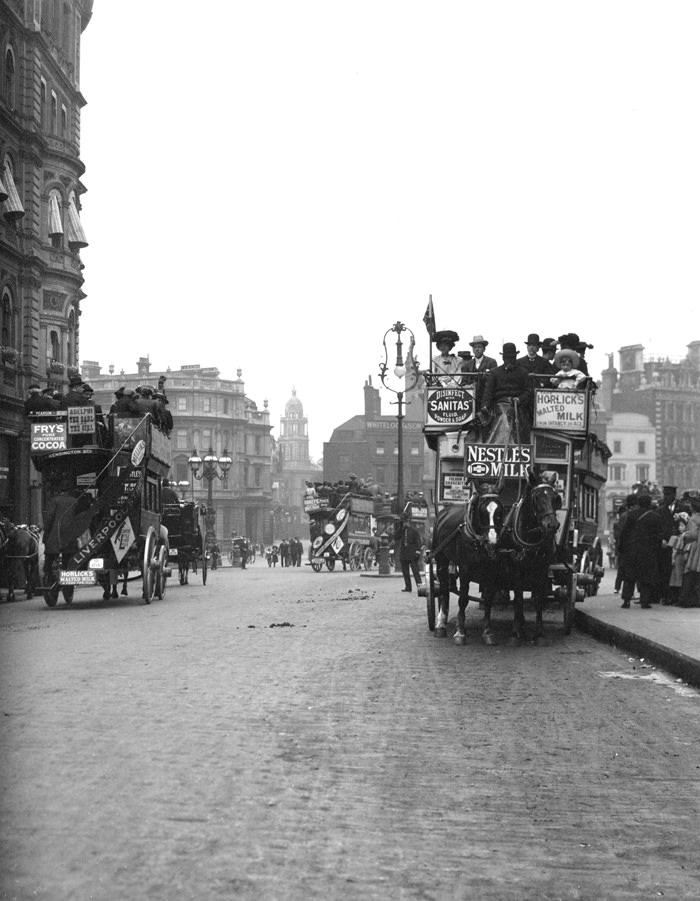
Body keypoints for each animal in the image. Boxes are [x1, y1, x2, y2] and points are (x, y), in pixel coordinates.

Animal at [430, 472, 560, 648]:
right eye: (537, 497)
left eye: (555, 498)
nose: (553, 525)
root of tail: (445, 510)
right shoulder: (467, 569)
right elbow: (464, 599)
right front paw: (460, 632)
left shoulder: (538, 570)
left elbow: (532, 600)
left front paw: (537, 634)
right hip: (441, 559)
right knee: (443, 589)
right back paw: (440, 624)